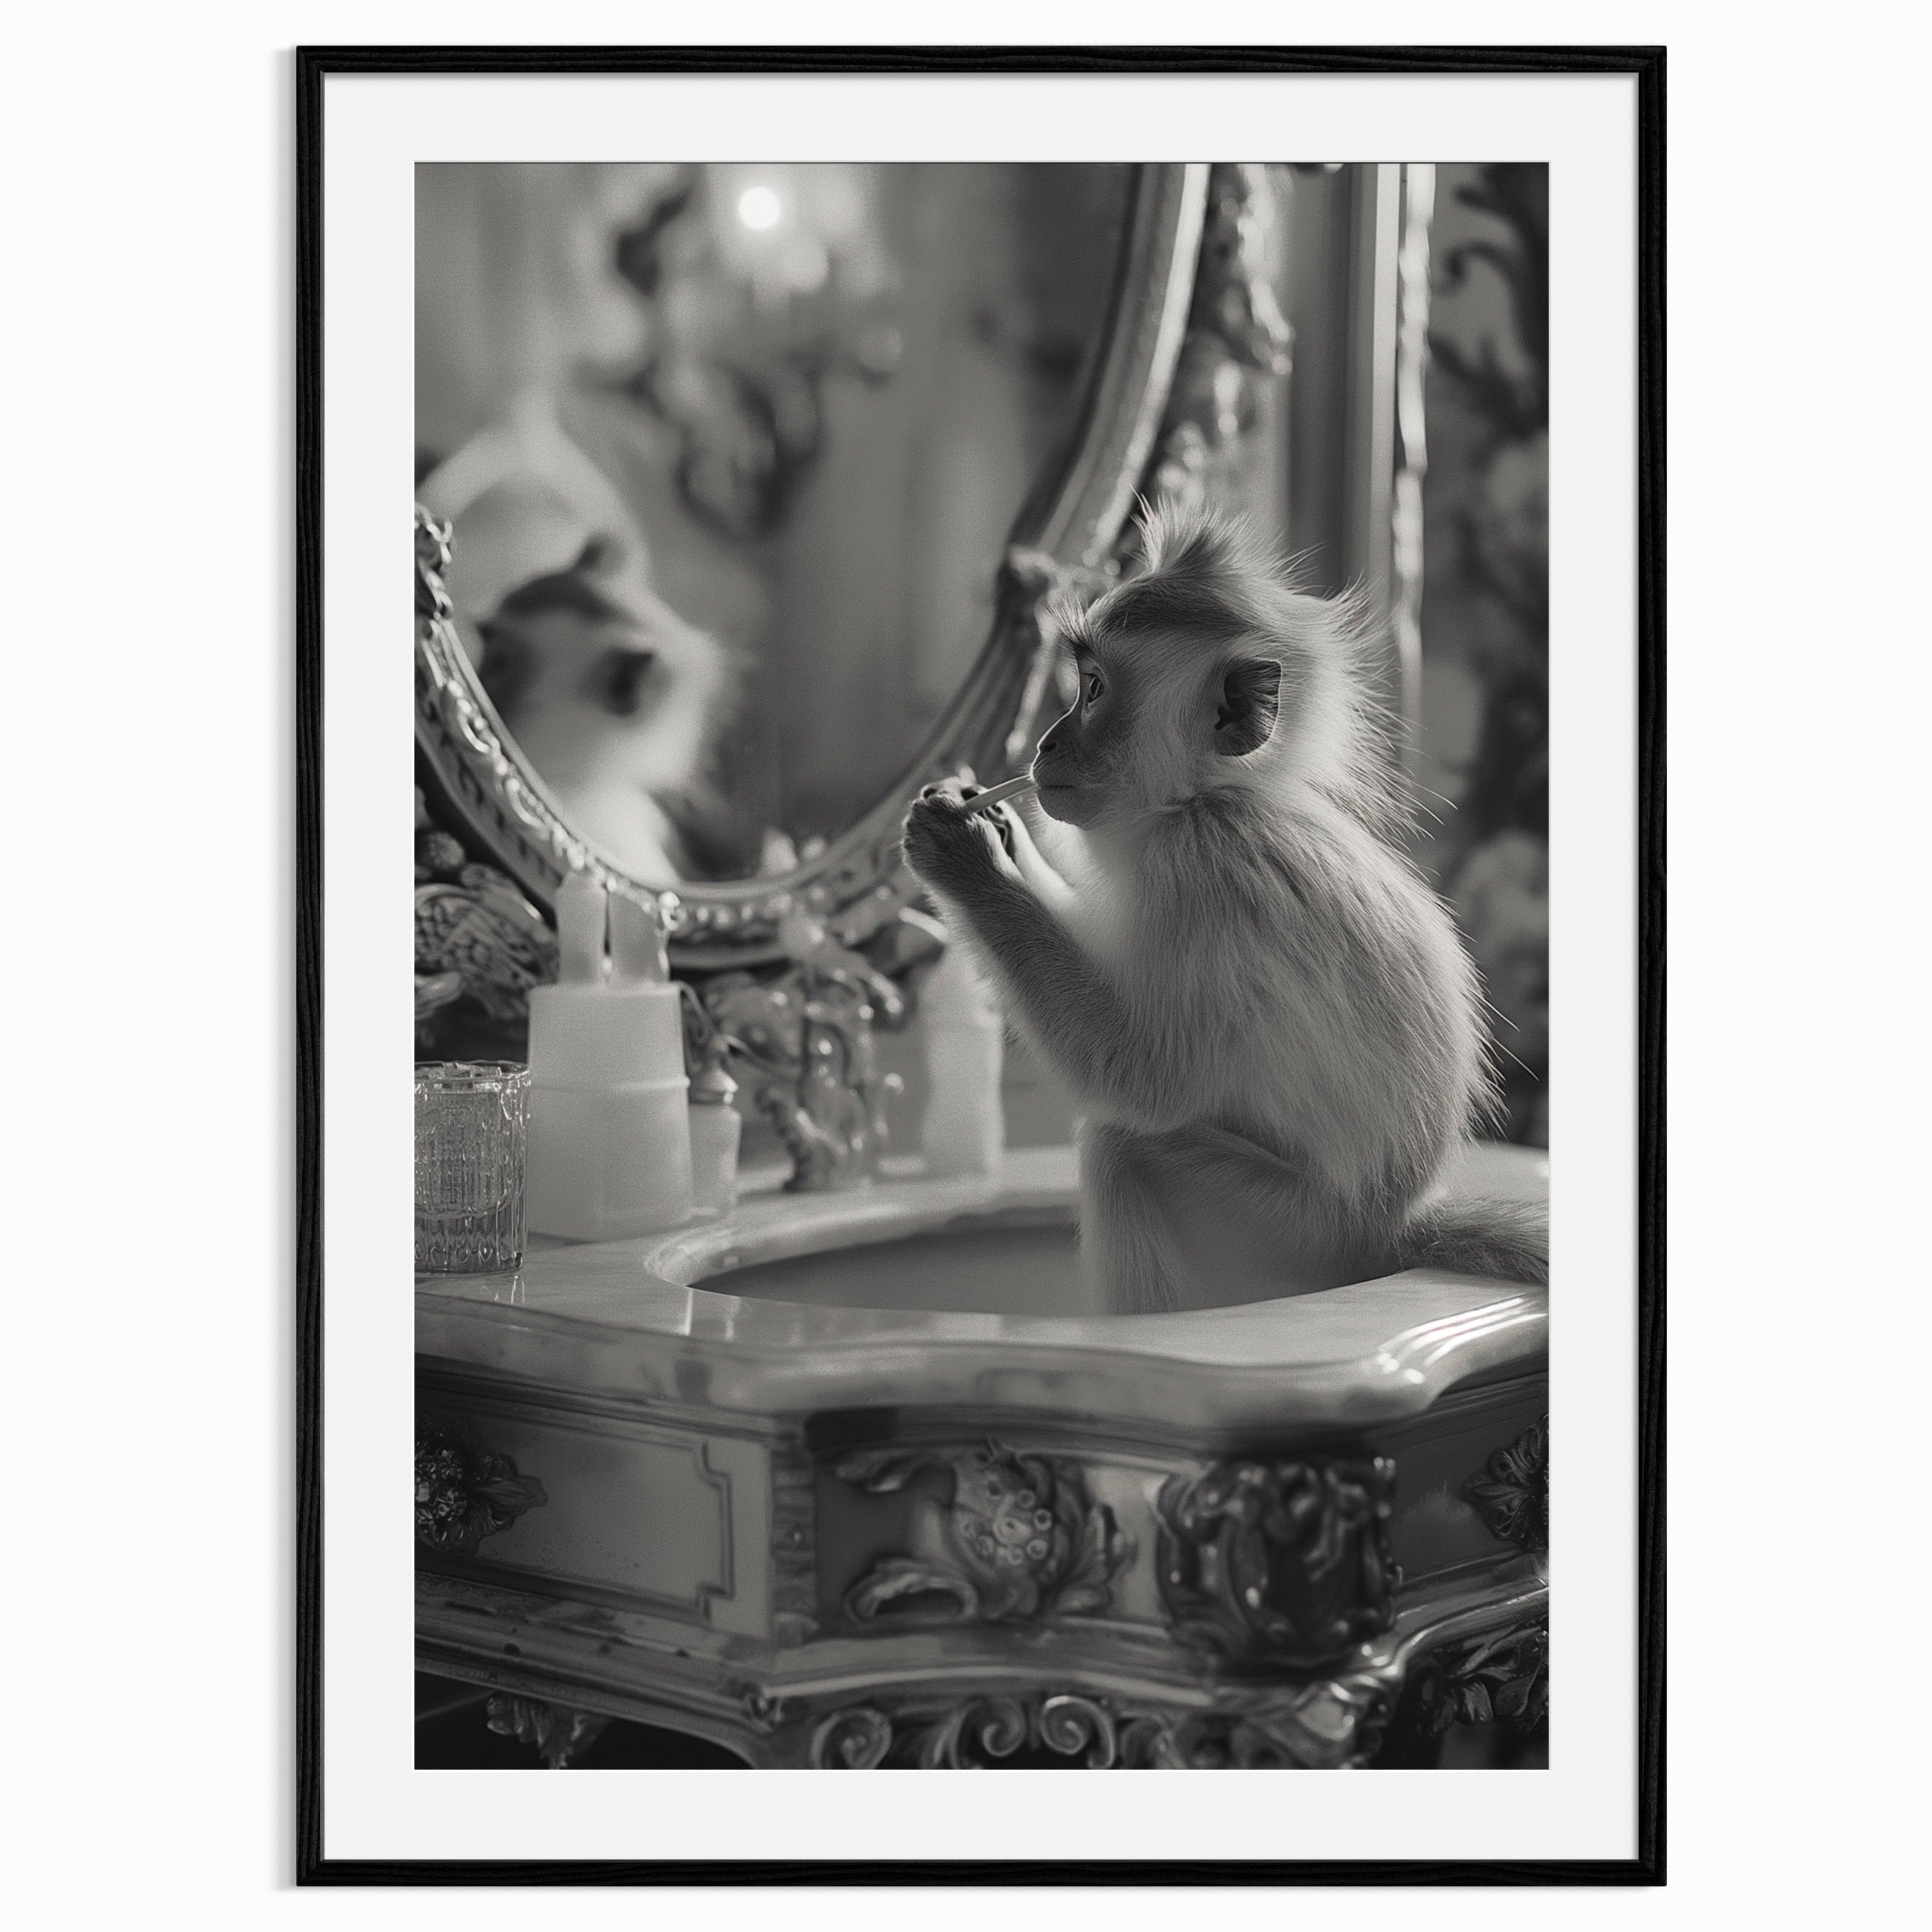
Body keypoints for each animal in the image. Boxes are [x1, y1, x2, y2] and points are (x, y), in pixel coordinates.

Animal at [902, 499, 1546, 1315]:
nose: (1043, 744)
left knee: (1123, 1147)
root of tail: (1396, 1230)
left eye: (1092, 689)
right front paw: (993, 821)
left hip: (1290, 1233)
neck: (1205, 798)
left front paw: (965, 859)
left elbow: (1142, 1080)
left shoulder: (1203, 872)